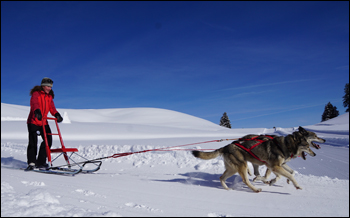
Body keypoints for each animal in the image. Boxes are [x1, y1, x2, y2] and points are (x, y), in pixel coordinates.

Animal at [191, 126, 326, 192]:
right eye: (307, 146)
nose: (314, 154)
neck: (286, 145)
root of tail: (226, 146)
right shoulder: (274, 166)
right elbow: (288, 175)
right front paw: (296, 185)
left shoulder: (279, 165)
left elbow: (290, 173)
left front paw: (274, 181)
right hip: (242, 165)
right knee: (246, 180)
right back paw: (255, 189)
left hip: (233, 169)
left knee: (221, 177)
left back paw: (228, 189)